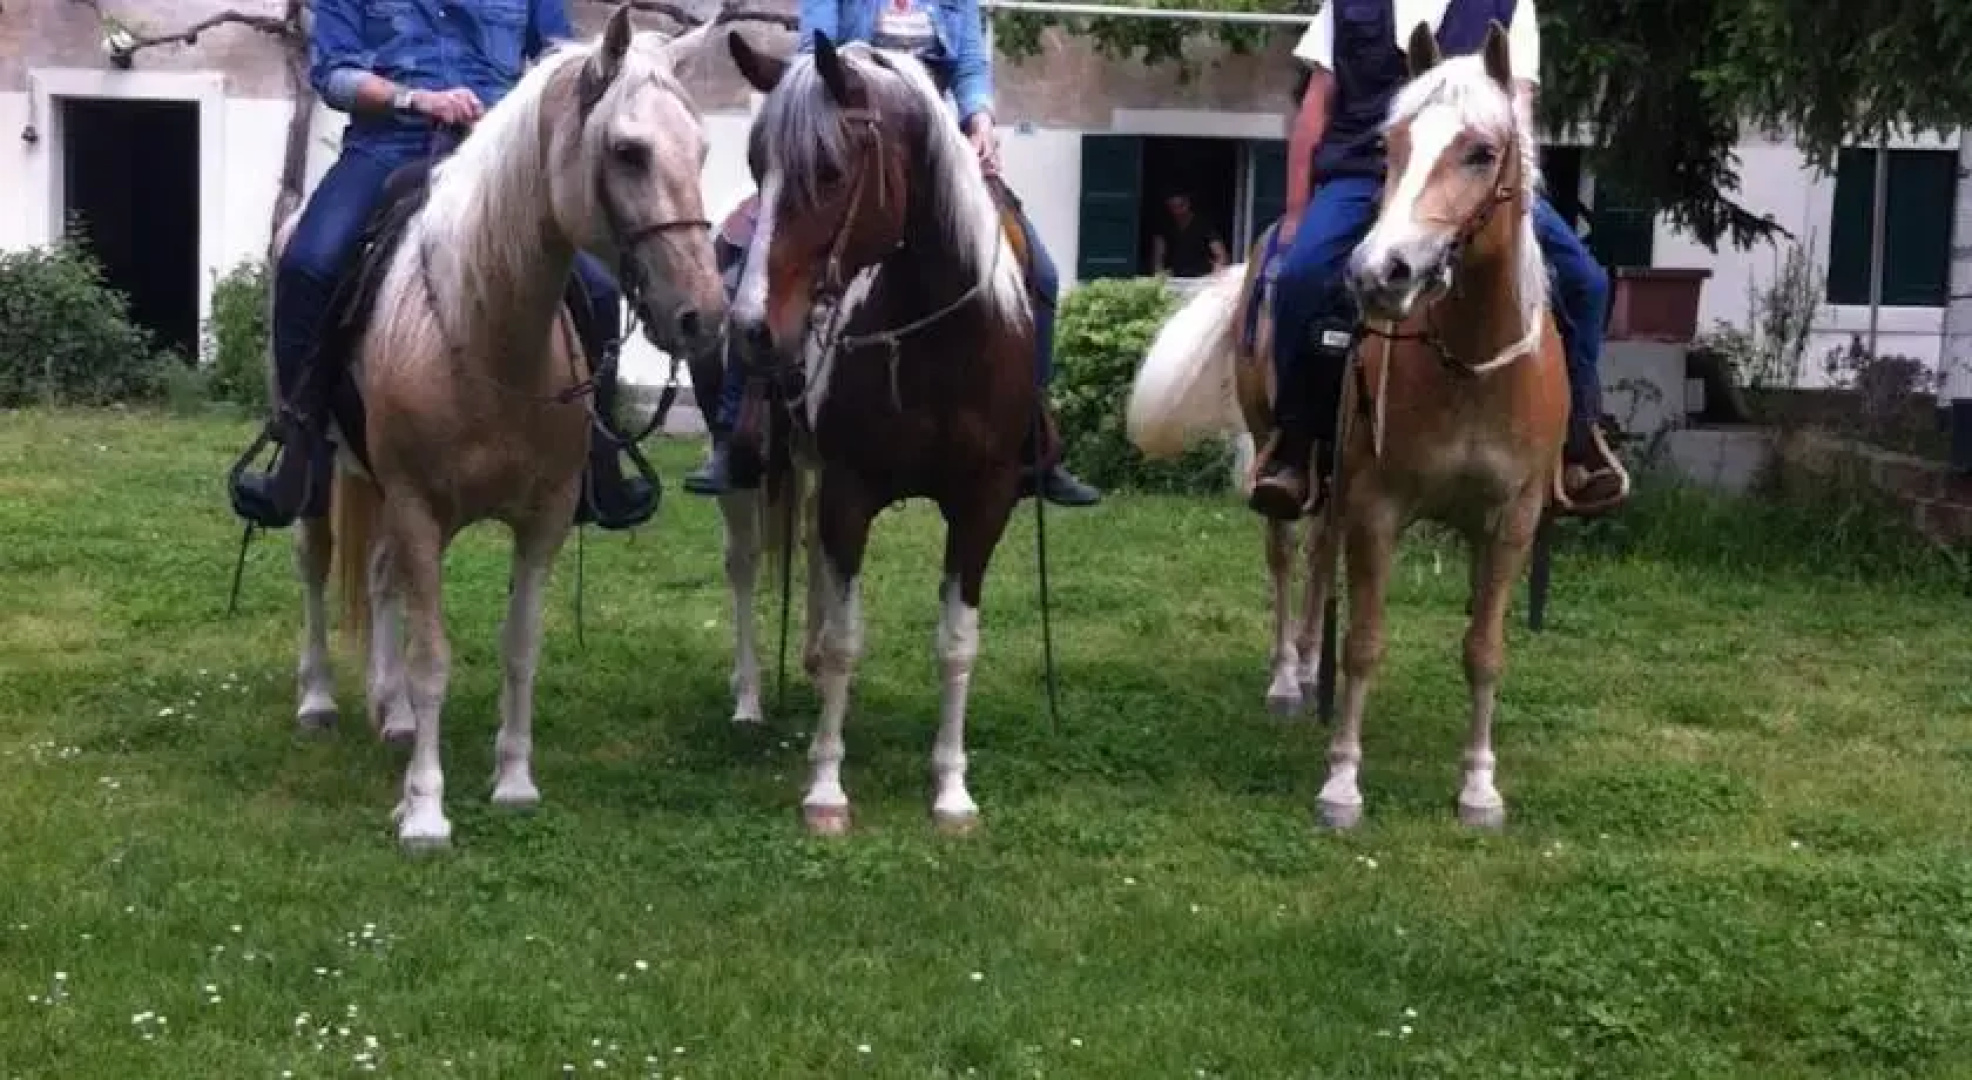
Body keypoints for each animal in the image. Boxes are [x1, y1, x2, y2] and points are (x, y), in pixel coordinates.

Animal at [272, 8, 725, 851]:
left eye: (702, 148)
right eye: (628, 151)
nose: (701, 316)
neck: (485, 334)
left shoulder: (541, 518)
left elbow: (520, 647)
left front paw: (514, 780)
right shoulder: (419, 510)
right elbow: (433, 659)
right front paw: (424, 808)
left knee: (378, 578)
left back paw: (391, 712)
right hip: (325, 473)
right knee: (315, 564)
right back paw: (318, 699)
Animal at [715, 30, 1043, 836]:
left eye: (831, 171)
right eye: (757, 165)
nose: (751, 330)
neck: (939, 343)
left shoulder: (984, 502)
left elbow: (956, 643)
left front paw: (951, 790)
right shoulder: (851, 490)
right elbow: (846, 640)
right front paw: (826, 789)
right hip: (745, 469)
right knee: (746, 567)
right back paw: (749, 699)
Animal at [1129, 23, 1568, 830]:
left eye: (1481, 150)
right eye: (1390, 144)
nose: (1380, 272)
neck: (1469, 365)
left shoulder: (1509, 521)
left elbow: (1484, 650)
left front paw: (1479, 787)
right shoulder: (1380, 507)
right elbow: (1363, 643)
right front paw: (1341, 783)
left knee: (1318, 558)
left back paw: (1308, 667)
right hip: (1285, 457)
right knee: (1285, 552)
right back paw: (1286, 679)